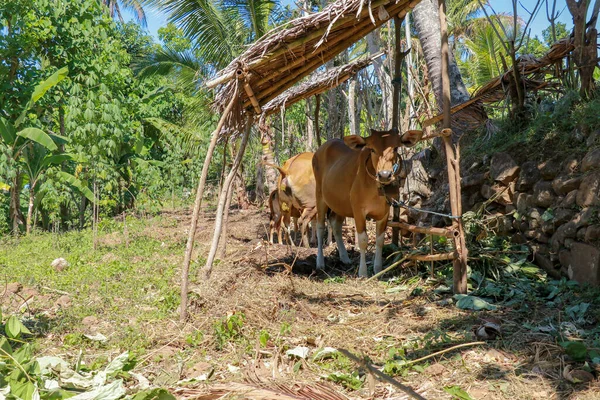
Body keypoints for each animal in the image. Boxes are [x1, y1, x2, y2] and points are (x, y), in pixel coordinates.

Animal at [312, 127, 420, 276]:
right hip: (320, 196)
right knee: (320, 226)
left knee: (336, 225)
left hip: (340, 204)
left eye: (396, 148)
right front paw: (363, 272)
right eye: (372, 149)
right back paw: (320, 262)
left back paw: (344, 257)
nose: (384, 175)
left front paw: (378, 269)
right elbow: (363, 240)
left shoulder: (384, 213)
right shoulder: (358, 211)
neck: (377, 189)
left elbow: (380, 240)